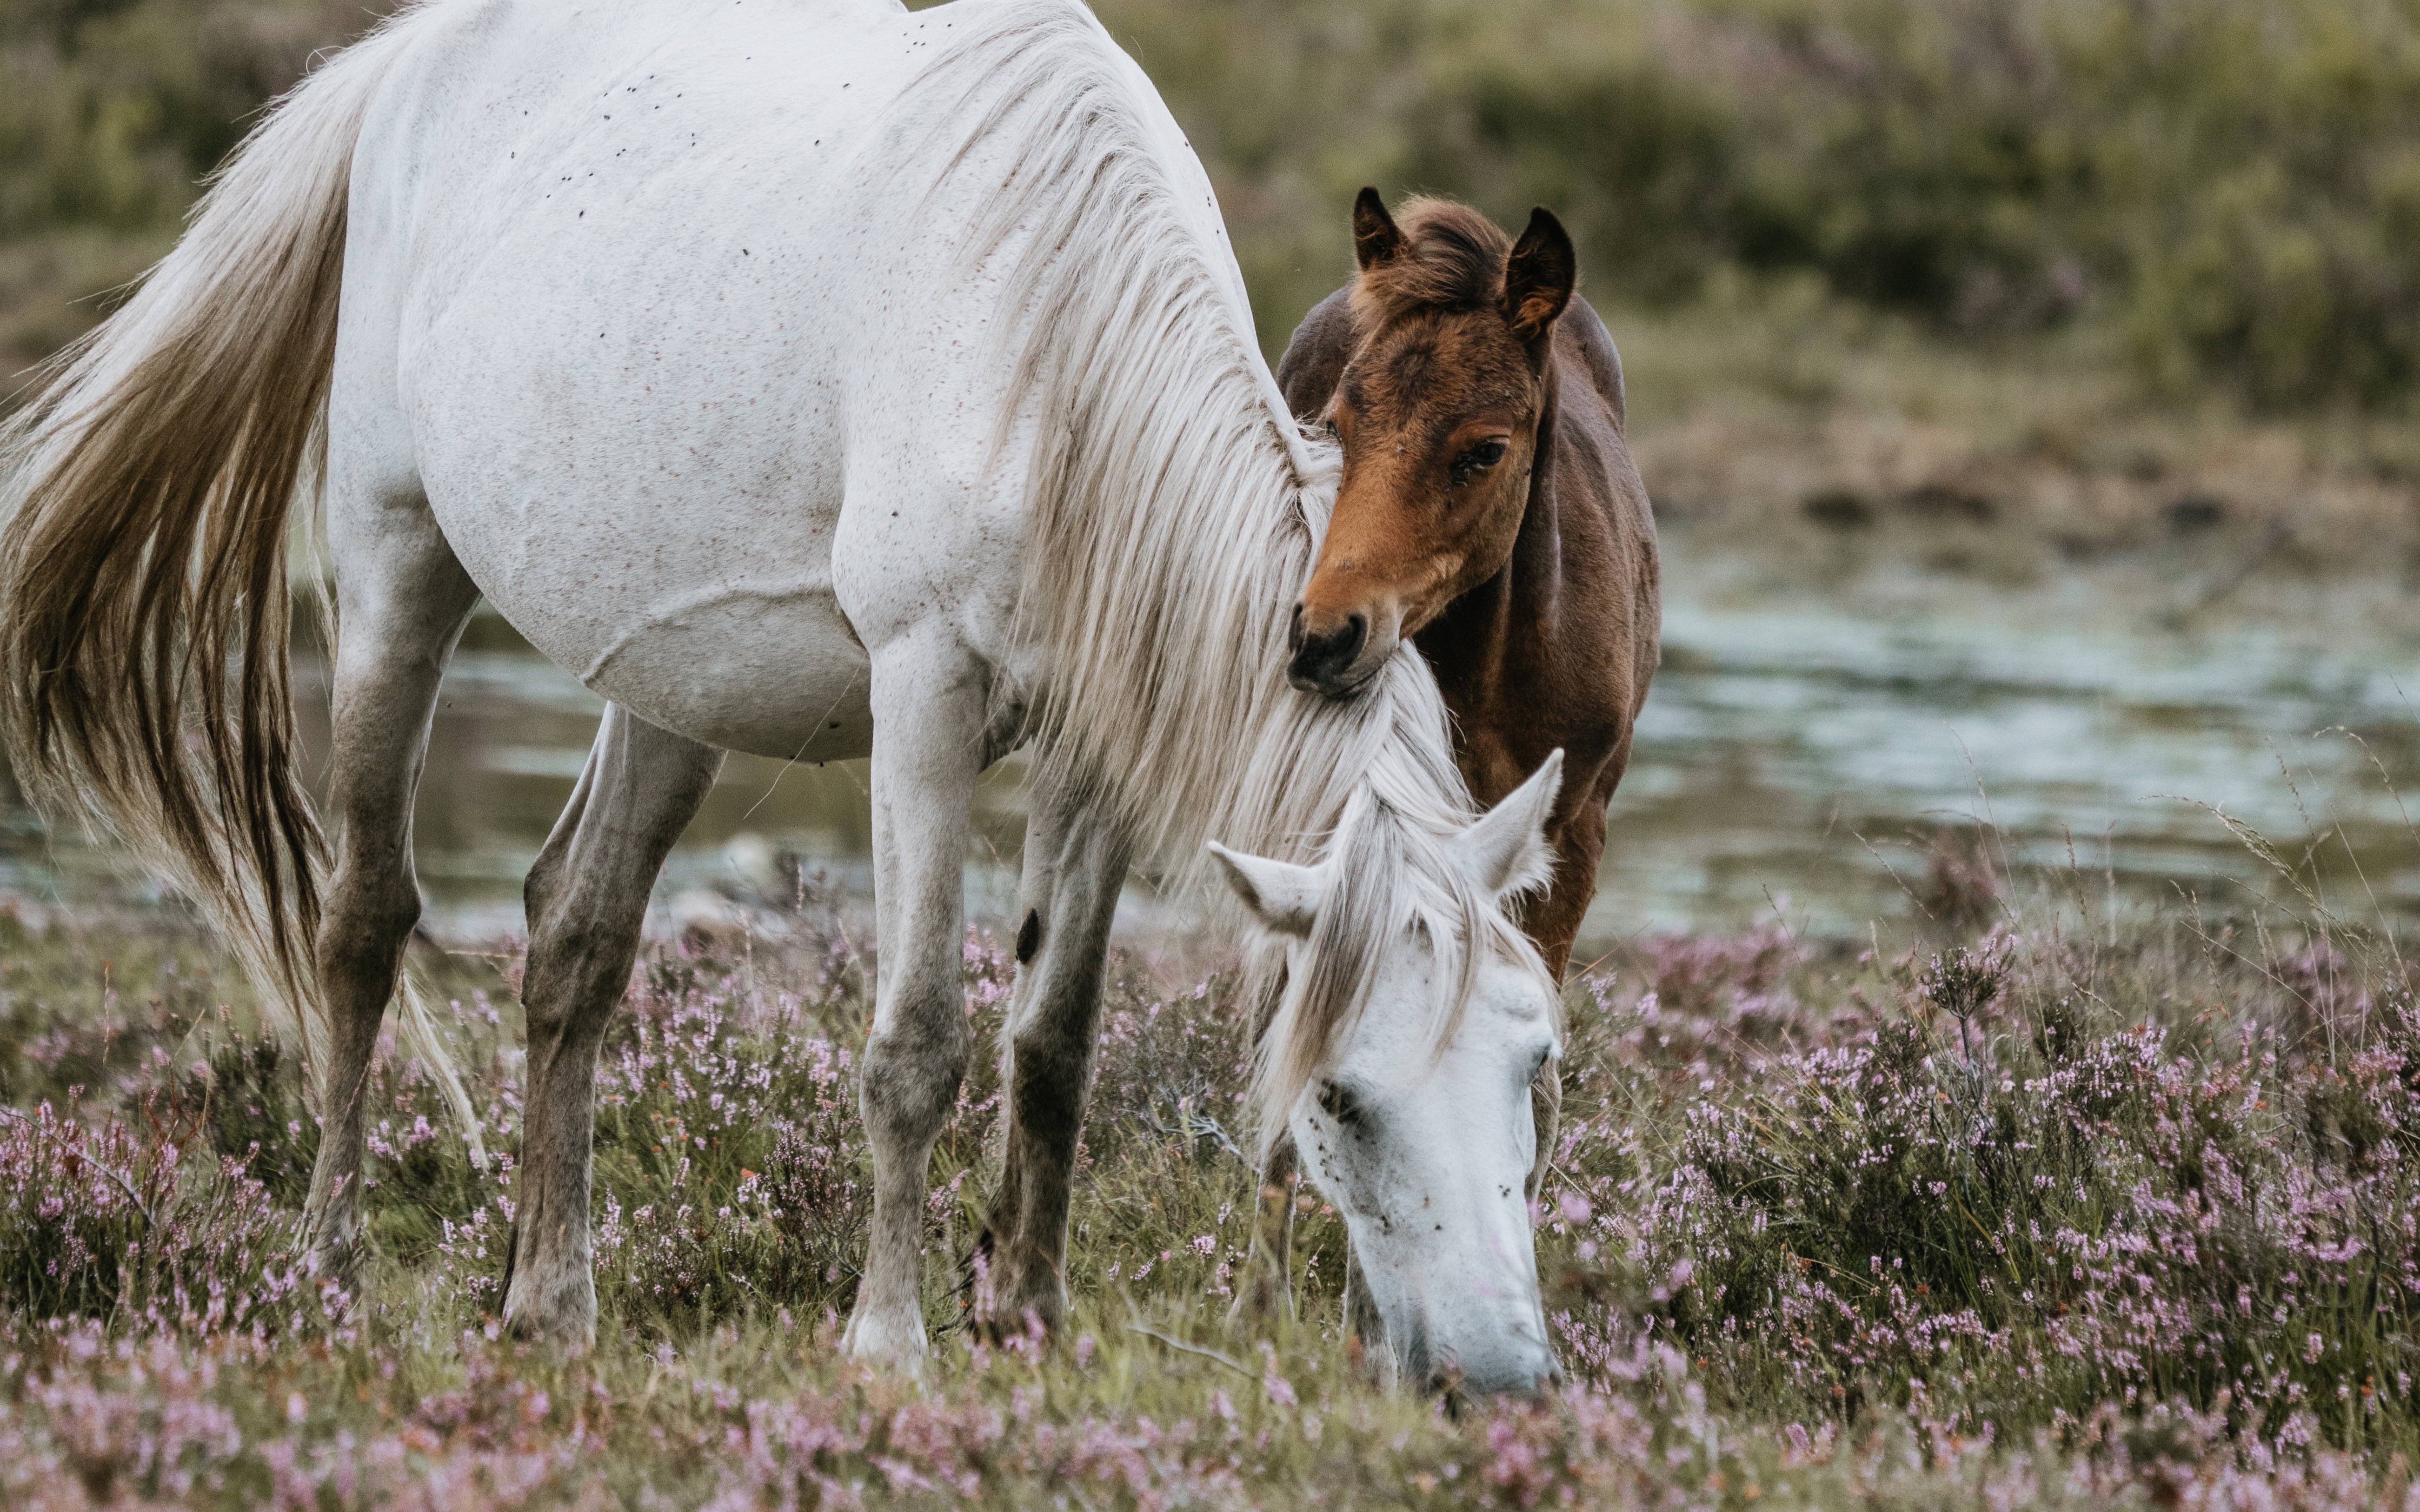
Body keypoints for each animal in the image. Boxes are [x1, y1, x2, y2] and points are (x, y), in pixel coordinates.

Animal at [0, 0, 1568, 1393]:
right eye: (1339, 1096)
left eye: (1533, 1062)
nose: (1493, 1374)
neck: (1044, 350)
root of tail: (404, 59)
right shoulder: (925, 695)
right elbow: (916, 1041)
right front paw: (889, 1341)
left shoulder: (1094, 747)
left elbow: (1053, 1041)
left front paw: (1031, 1318)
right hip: (397, 567)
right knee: (361, 925)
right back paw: (324, 1269)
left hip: (668, 683)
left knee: (574, 934)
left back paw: (547, 1300)